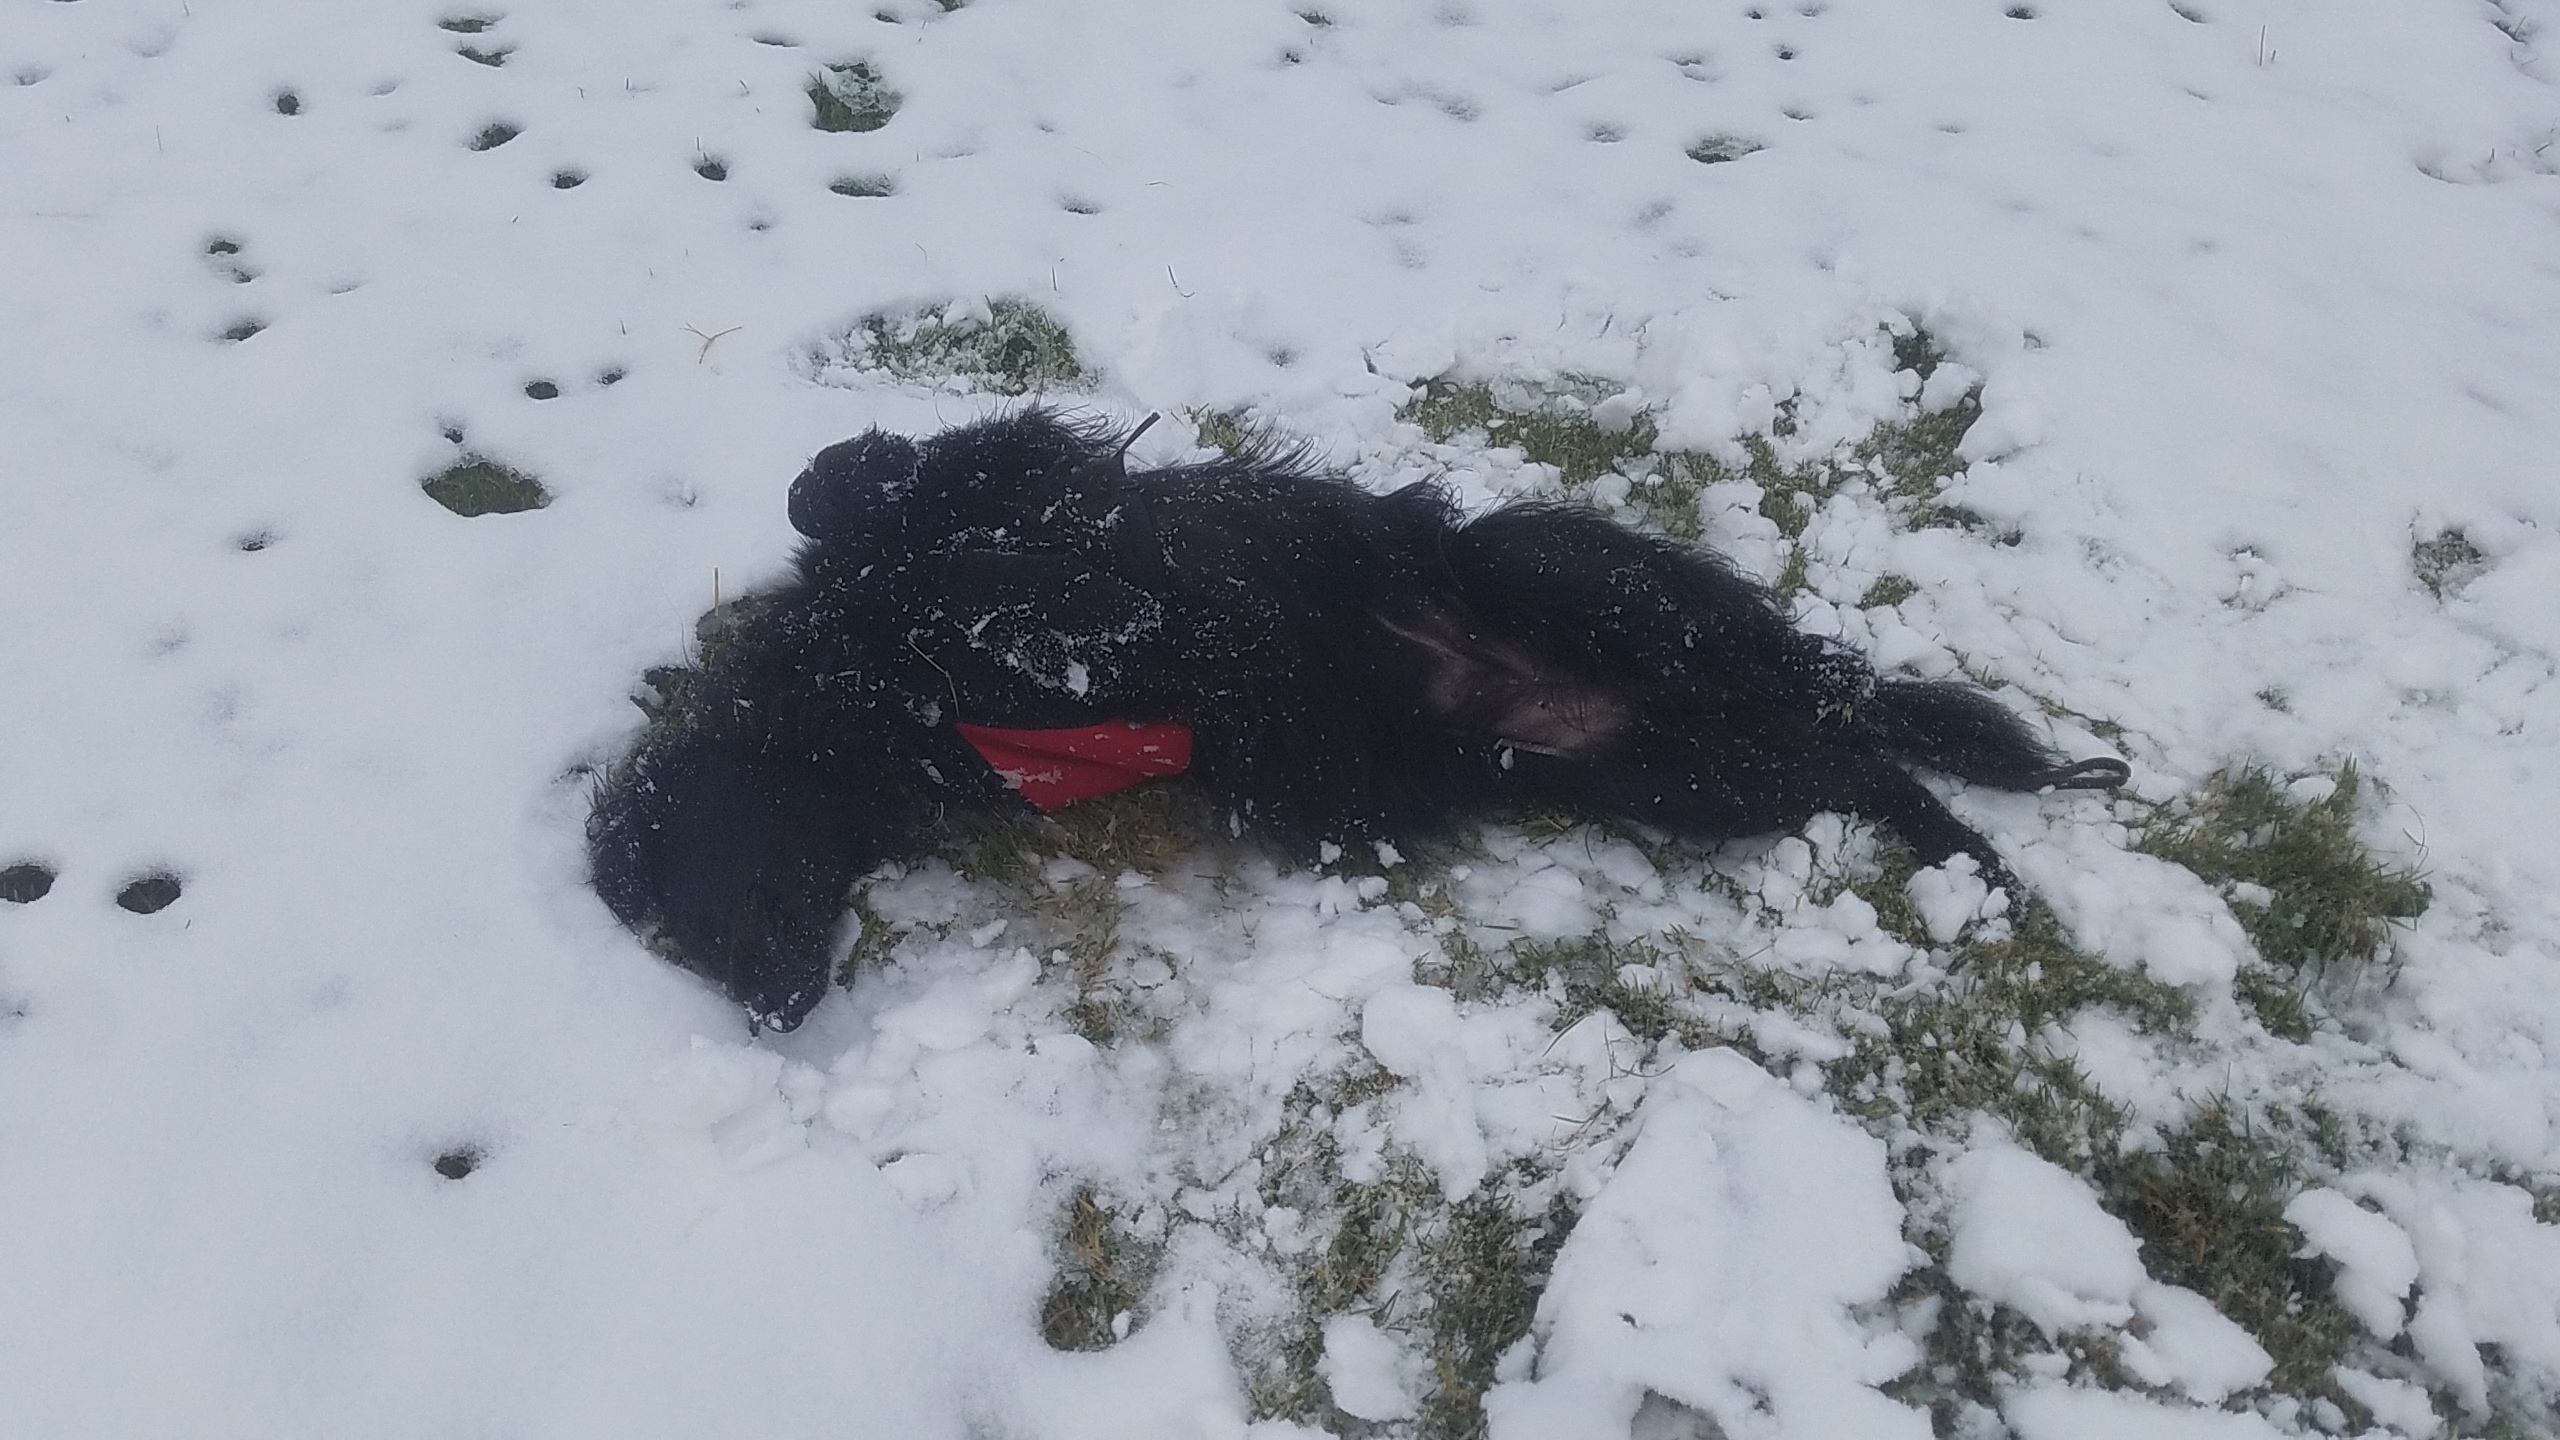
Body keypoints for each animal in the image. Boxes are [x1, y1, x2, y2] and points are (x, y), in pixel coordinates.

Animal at [588, 409, 2126, 1030]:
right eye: (682, 944)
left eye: (689, 901)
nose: (774, 1010)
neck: (836, 706)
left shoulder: (992, 521)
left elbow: (874, 498)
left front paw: (1027, 588)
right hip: (1673, 774)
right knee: (1850, 757)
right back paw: (1985, 864)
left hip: (1582, 580)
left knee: (1853, 693)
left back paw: (2031, 797)